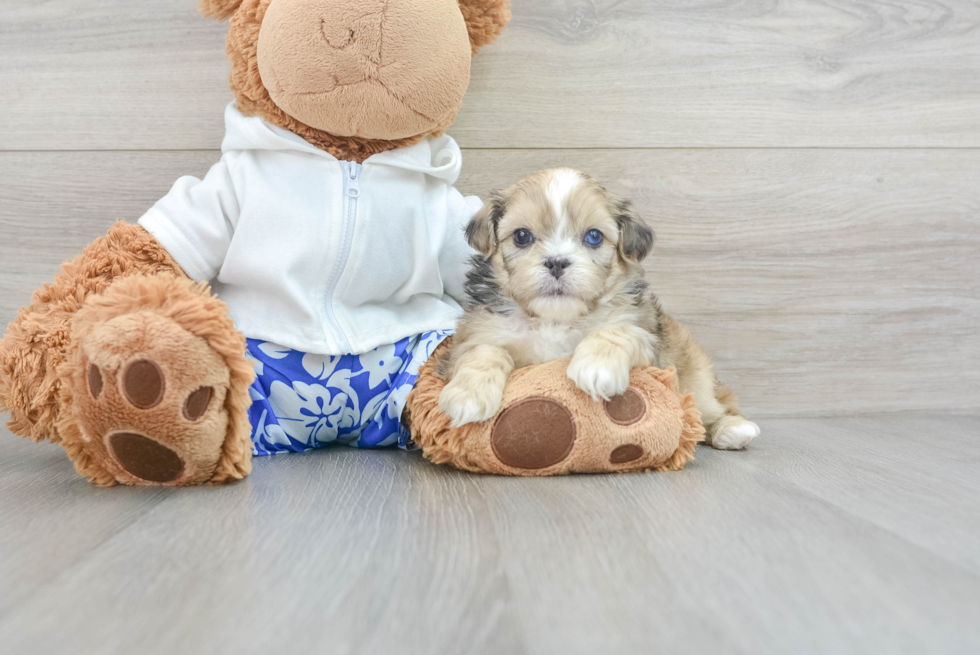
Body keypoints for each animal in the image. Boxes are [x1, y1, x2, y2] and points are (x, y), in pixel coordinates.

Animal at [440, 168, 760, 452]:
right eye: (521, 236)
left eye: (593, 237)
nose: (557, 262)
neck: (555, 320)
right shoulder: (476, 336)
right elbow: (485, 351)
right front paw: (467, 394)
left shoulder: (648, 342)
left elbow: (616, 331)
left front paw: (596, 367)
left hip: (694, 377)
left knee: (712, 406)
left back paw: (732, 429)